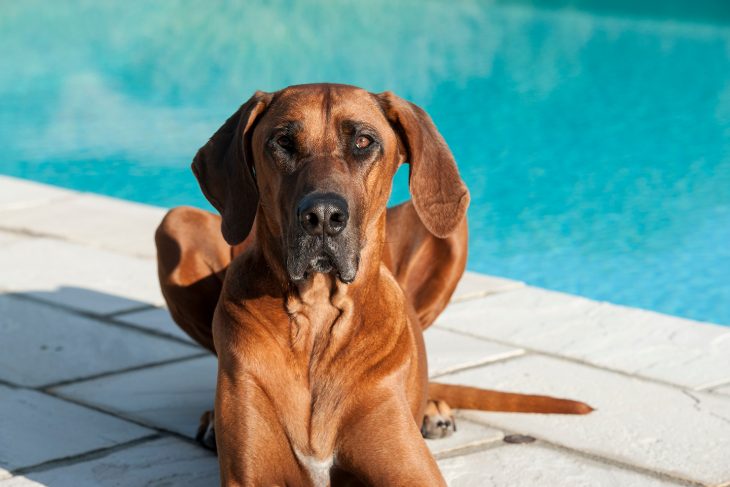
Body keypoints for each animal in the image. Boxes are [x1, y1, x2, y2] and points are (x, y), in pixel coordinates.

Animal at [156, 85, 588, 487]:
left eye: (363, 142)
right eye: (283, 142)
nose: (322, 216)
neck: (317, 314)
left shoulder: (412, 472)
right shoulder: (249, 475)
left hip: (451, 224)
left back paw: (432, 407)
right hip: (175, 225)